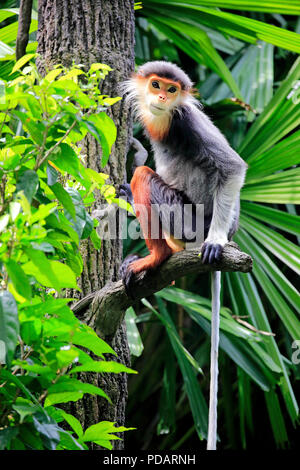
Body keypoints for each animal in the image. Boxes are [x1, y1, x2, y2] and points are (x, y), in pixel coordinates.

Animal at [118, 58, 247, 294]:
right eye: (156, 85)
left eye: (172, 89)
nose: (162, 97)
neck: (166, 118)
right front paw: (138, 157)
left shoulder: (187, 121)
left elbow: (233, 166)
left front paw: (216, 241)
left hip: (189, 223)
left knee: (143, 177)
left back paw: (158, 256)